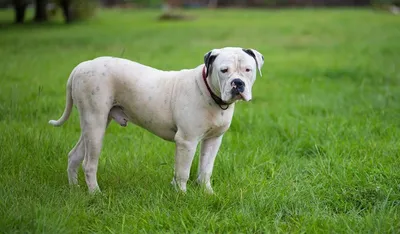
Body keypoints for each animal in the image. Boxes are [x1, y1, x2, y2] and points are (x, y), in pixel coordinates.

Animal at [48, 46, 264, 193]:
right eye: (224, 70)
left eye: (248, 70)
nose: (238, 83)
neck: (211, 93)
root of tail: (80, 67)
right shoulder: (186, 141)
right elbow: (183, 172)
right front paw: (182, 195)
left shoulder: (213, 140)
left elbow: (205, 170)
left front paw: (207, 193)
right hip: (95, 123)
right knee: (89, 163)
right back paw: (95, 194)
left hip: (93, 124)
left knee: (74, 155)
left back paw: (75, 189)